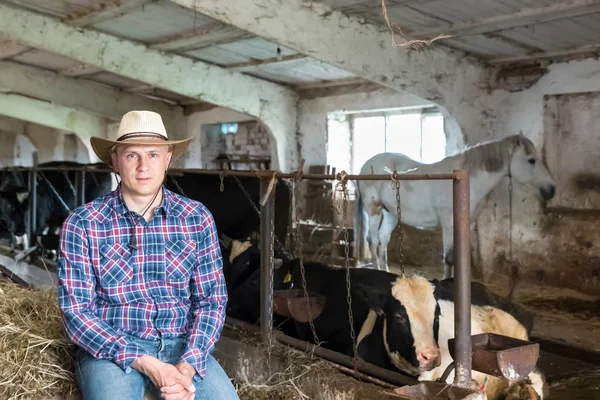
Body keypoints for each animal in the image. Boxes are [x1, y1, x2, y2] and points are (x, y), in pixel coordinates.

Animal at [354, 134, 556, 278]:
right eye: (531, 160)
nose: (552, 189)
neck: (464, 183)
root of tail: (364, 167)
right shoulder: (449, 224)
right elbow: (449, 259)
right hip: (374, 210)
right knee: (373, 240)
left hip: (391, 214)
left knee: (383, 239)